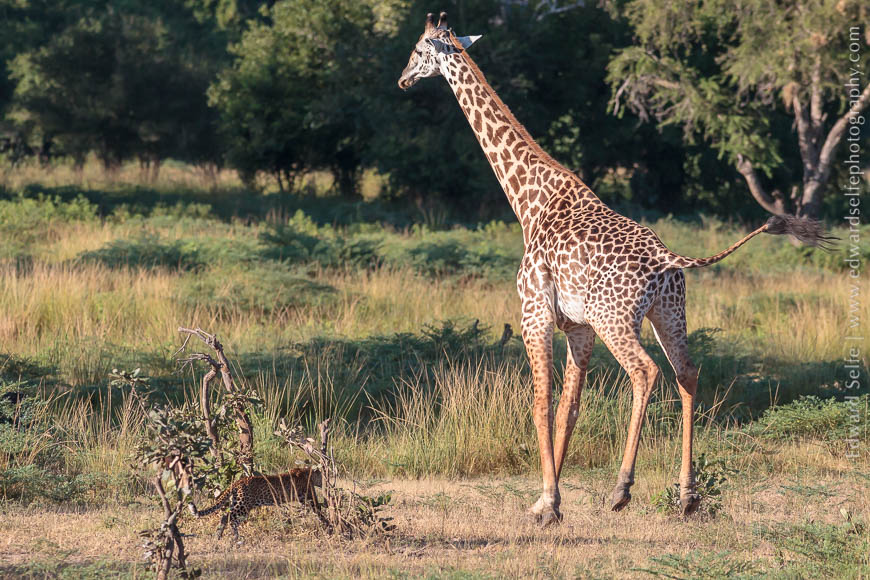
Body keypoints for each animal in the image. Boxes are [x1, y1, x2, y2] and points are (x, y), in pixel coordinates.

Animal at [187, 467, 322, 540]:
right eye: (321, 475)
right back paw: (234, 537)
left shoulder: (303, 499)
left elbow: (307, 511)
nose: (324, 482)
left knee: (226, 517)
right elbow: (318, 510)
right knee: (229, 518)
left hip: (237, 503)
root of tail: (238, 481)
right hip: (243, 506)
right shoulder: (309, 496)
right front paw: (326, 526)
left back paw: (220, 536)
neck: (307, 472)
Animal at [398, 12, 834, 526]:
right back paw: (687, 494)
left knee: (646, 372)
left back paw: (622, 488)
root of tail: (669, 259)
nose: (403, 79)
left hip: (616, 318)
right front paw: (548, 499)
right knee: (687, 372)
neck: (529, 201)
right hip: (669, 312)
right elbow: (570, 406)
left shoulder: (534, 314)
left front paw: (547, 504)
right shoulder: (578, 326)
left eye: (418, 49)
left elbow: (541, 404)